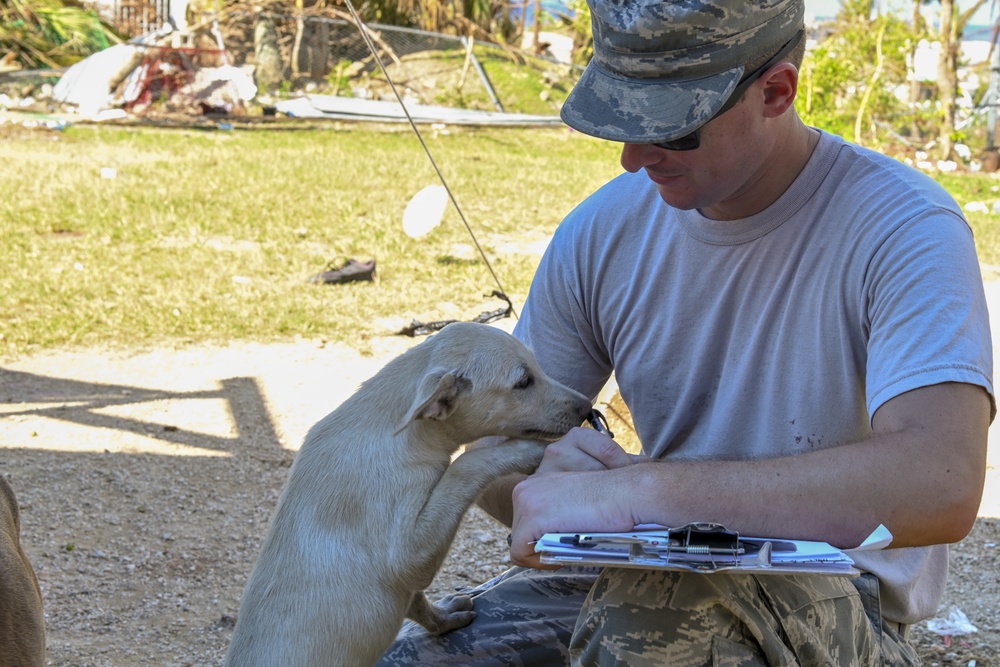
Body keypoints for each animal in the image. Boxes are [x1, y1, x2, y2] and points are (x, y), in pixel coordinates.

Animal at [223, 320, 588, 664]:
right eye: (523, 382)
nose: (587, 408)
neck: (396, 429)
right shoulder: (408, 554)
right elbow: (465, 464)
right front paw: (527, 451)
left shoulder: (407, 579)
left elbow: (418, 602)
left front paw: (444, 618)